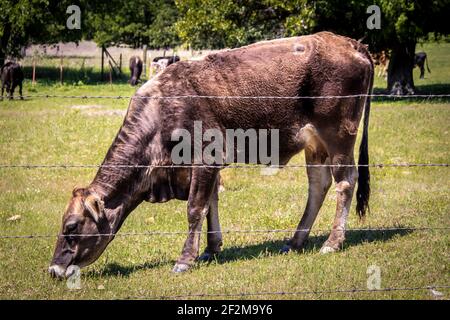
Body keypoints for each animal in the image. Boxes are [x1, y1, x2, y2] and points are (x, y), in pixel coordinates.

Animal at [48, 32, 372, 278]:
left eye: (71, 227)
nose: (53, 269)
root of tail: (350, 43)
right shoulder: (202, 167)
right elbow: (211, 204)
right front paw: (211, 248)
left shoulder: (206, 157)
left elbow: (195, 208)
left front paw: (184, 260)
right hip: (314, 144)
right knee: (318, 185)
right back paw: (295, 241)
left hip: (339, 136)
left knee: (345, 182)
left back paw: (332, 241)